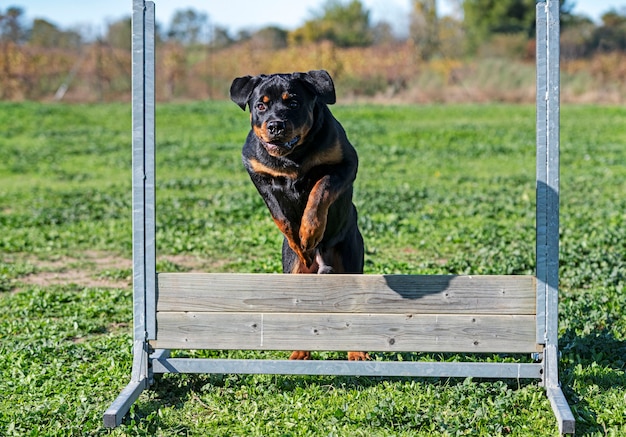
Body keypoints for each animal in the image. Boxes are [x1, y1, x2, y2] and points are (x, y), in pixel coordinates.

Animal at [228, 69, 366, 362]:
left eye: (293, 102)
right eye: (261, 106)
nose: (275, 125)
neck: (293, 157)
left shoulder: (345, 164)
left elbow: (319, 190)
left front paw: (310, 232)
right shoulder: (258, 173)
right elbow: (279, 214)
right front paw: (299, 242)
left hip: (351, 258)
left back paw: (357, 353)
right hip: (293, 272)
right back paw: (299, 353)